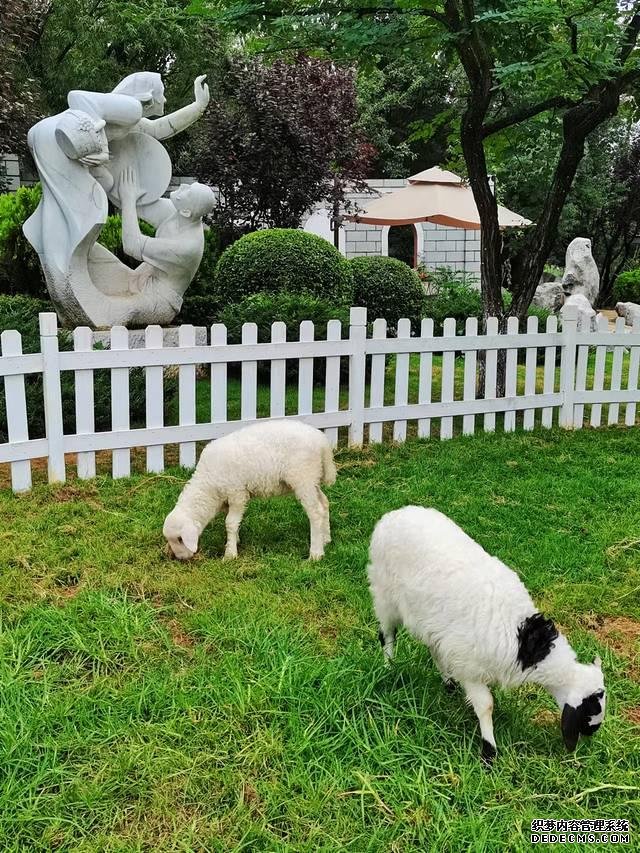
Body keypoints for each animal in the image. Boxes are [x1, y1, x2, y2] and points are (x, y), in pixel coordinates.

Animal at [164, 418, 336, 564]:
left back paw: (315, 553)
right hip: (313, 479)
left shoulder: (237, 493)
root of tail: (321, 441)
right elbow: (233, 522)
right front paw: (235, 541)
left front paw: (230, 554)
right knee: (324, 503)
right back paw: (326, 539)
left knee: (315, 512)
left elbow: (230, 523)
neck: (208, 487)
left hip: (303, 477)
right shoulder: (229, 499)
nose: (180, 558)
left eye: (180, 539)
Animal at [368, 502, 608, 764]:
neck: (524, 641)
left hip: (430, 617)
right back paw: (389, 668)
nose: (592, 733)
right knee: (387, 635)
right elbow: (486, 706)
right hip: (384, 593)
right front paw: (489, 751)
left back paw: (448, 682)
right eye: (591, 708)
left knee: (433, 645)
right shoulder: (471, 670)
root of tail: (393, 515)